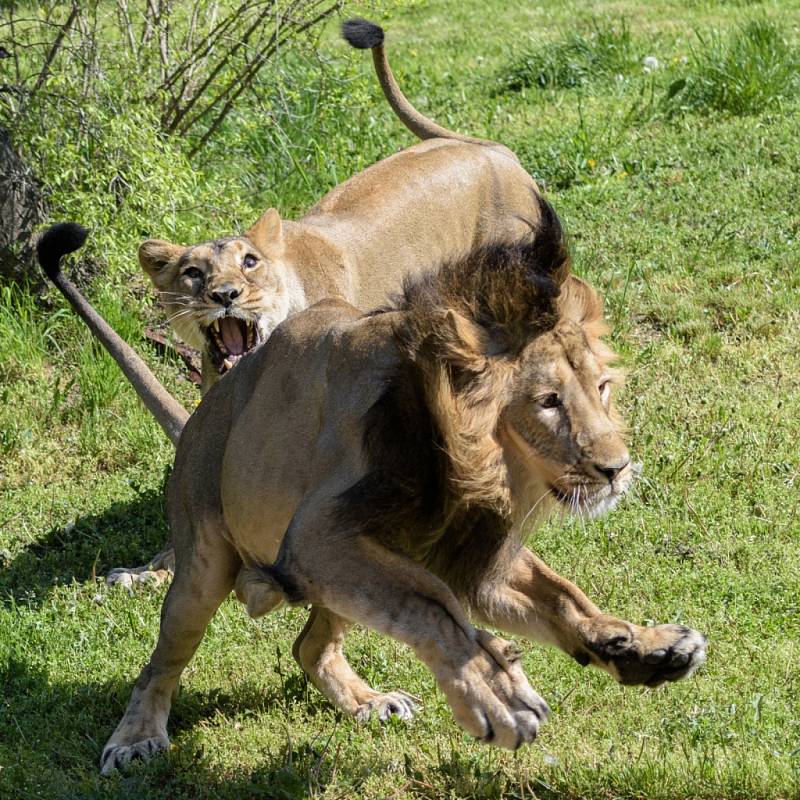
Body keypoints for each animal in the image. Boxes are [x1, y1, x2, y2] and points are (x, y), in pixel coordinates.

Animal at [86, 191, 708, 772]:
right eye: (548, 401)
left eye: (602, 388)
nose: (616, 469)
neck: (475, 470)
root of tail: (203, 411)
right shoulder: (316, 538)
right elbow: (435, 608)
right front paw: (496, 693)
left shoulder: (475, 552)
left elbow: (560, 596)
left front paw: (644, 647)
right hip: (204, 564)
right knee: (161, 663)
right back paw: (135, 738)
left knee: (310, 645)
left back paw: (368, 701)